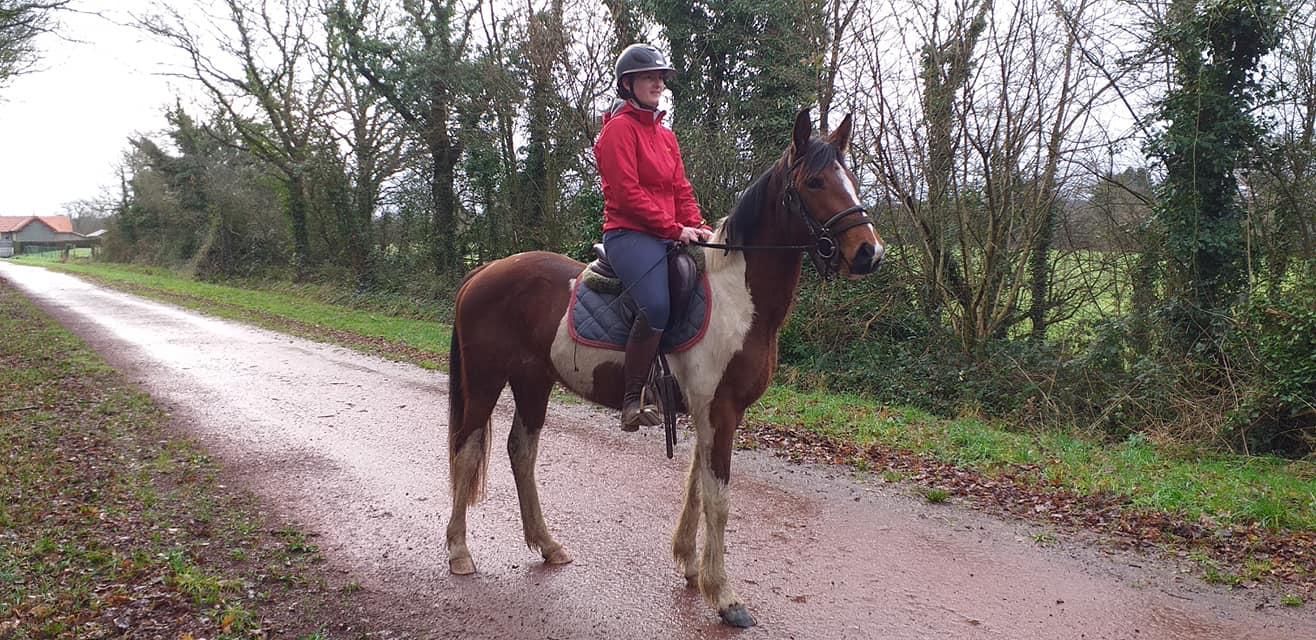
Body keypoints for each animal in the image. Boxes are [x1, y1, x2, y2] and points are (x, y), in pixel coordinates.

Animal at [447, 108, 889, 624]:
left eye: (852, 179)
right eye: (816, 182)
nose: (869, 252)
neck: (737, 300)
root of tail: (485, 270)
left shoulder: (711, 412)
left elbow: (696, 485)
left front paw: (691, 566)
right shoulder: (719, 411)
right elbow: (718, 497)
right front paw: (725, 595)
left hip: (533, 381)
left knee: (522, 451)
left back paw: (547, 544)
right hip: (486, 380)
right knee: (468, 450)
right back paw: (459, 551)